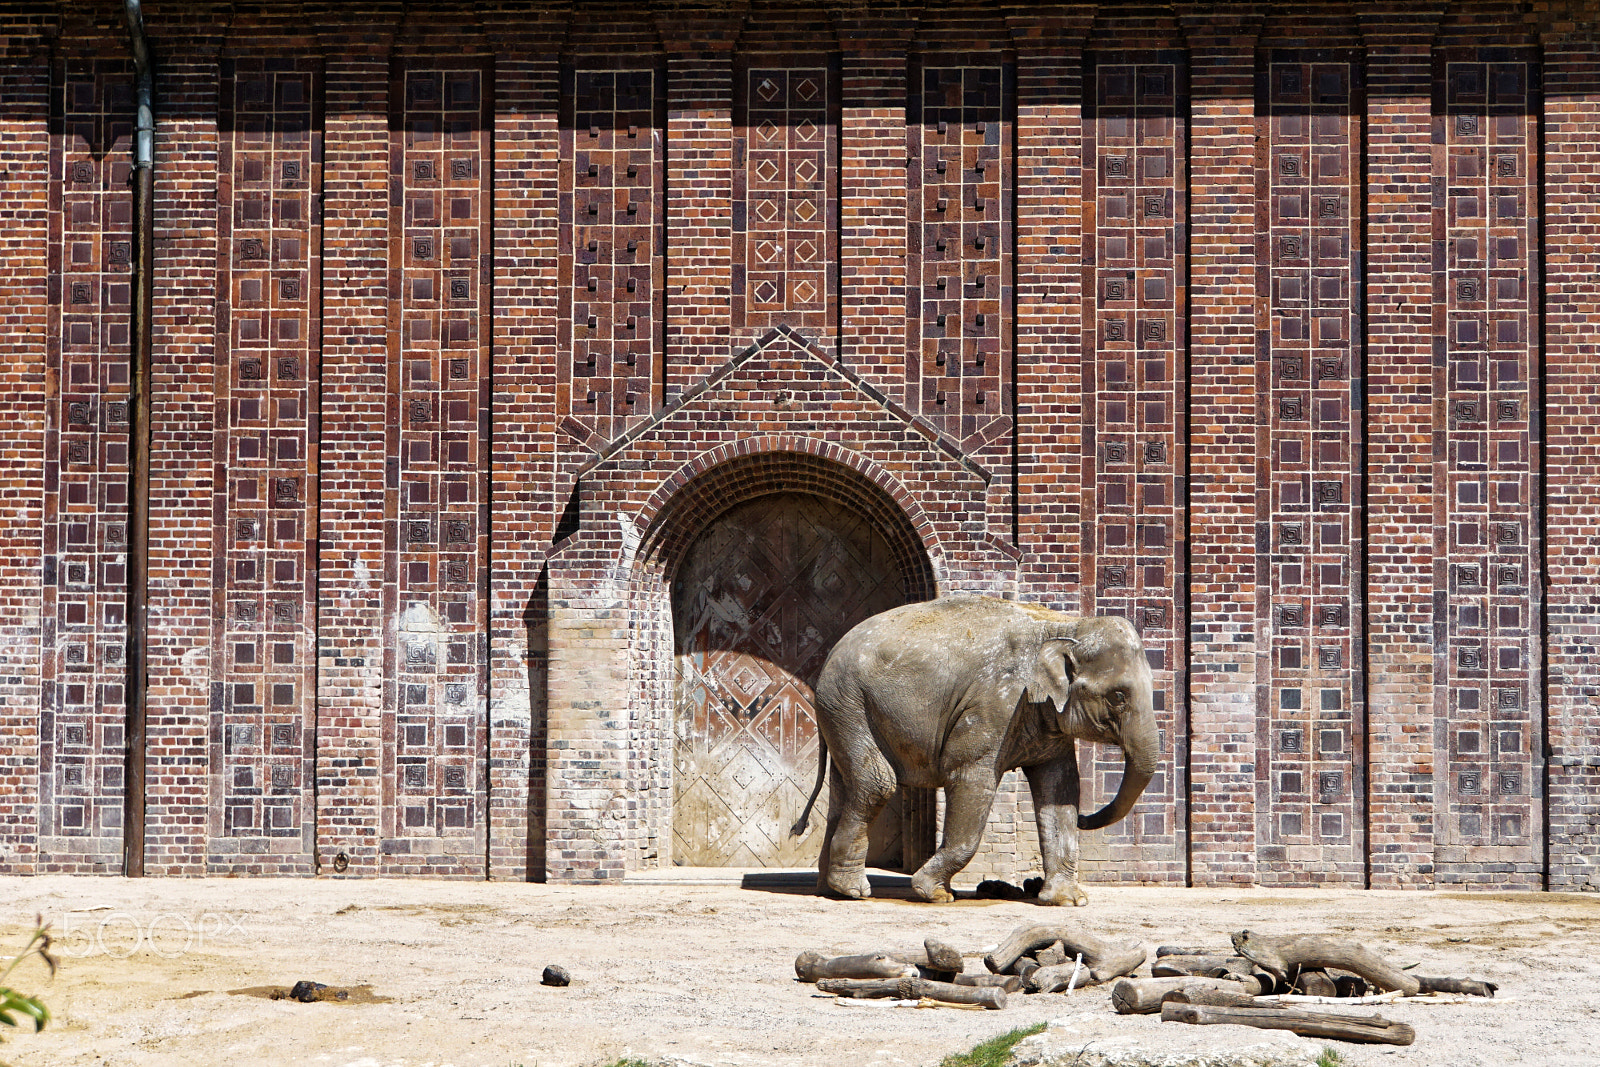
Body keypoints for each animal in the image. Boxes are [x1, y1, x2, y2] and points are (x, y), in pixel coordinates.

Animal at [793, 598, 1158, 908]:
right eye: (1118, 697)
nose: (1087, 818)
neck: (1064, 625)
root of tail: (831, 653)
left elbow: (1060, 788)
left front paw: (1068, 901)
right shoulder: (995, 705)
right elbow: (970, 779)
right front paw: (934, 893)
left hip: (842, 710)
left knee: (846, 789)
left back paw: (831, 891)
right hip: (847, 702)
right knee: (877, 783)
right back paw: (854, 891)